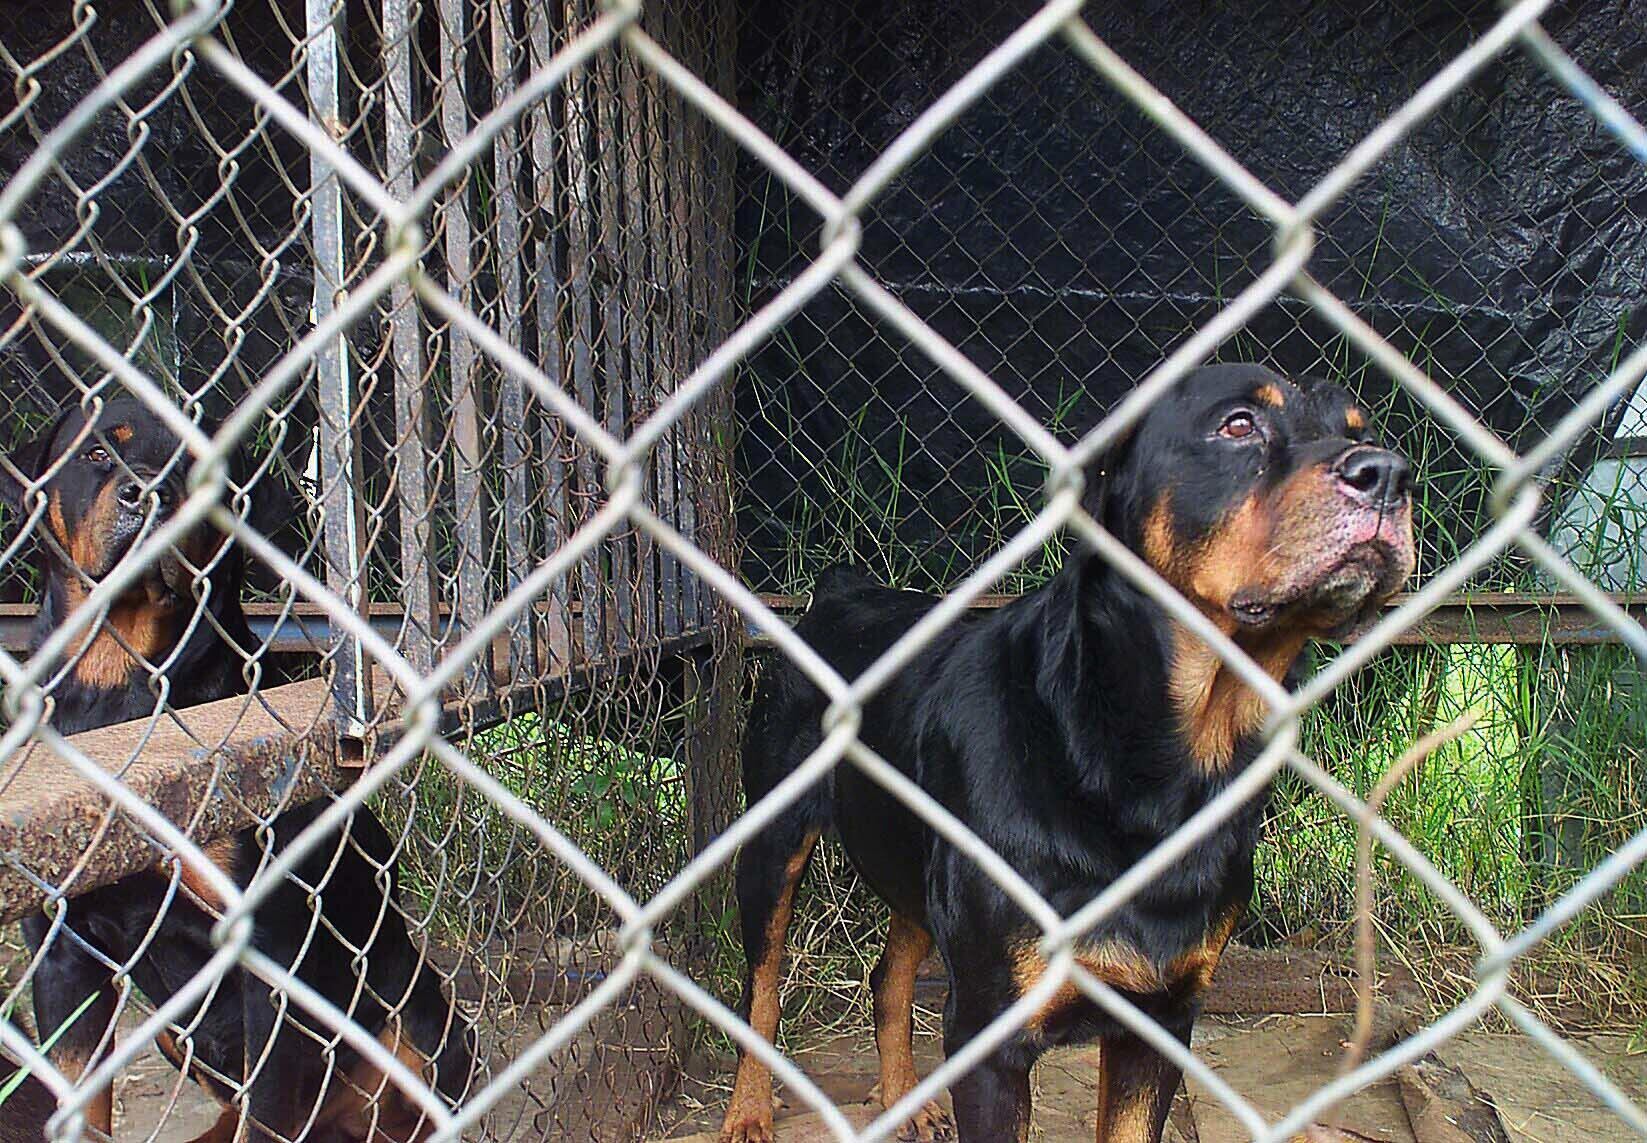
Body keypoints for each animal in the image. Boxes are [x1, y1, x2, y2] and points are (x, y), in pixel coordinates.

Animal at [1, 395, 472, 1142]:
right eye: (98, 452)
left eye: (197, 465)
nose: (150, 493)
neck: (121, 687)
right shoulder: (60, 950)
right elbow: (75, 1094)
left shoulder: (269, 947)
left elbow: (268, 1104)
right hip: (178, 1035)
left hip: (425, 1023)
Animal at [720, 364, 1414, 1143]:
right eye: (1237, 424)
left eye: (1358, 428)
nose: (1389, 473)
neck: (1137, 763)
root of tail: (839, 592)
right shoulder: (989, 1037)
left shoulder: (1160, 1020)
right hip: (773, 841)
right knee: (761, 989)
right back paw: (748, 1111)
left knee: (889, 974)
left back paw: (907, 1098)